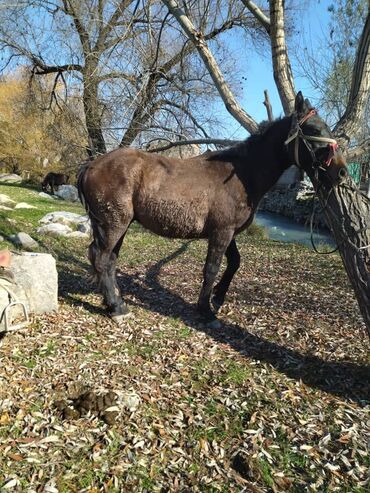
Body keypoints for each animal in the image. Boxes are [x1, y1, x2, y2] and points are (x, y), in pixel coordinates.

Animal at [77, 94, 346, 328]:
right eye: (313, 130)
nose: (342, 172)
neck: (242, 174)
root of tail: (92, 164)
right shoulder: (221, 232)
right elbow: (211, 269)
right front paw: (205, 310)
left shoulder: (229, 232)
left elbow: (235, 262)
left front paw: (217, 297)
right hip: (113, 225)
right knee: (101, 258)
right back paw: (117, 308)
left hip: (118, 226)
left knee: (108, 261)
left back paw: (114, 303)